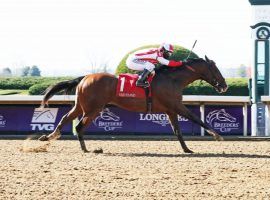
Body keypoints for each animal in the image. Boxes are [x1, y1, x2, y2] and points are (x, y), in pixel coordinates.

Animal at [38, 55, 228, 154]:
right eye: (215, 68)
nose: (224, 85)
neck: (173, 79)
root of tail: (85, 77)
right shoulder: (177, 106)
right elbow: (196, 118)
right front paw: (217, 135)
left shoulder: (170, 110)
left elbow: (177, 131)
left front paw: (187, 149)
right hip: (93, 109)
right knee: (79, 126)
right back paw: (87, 149)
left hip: (81, 106)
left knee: (65, 118)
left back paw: (49, 136)